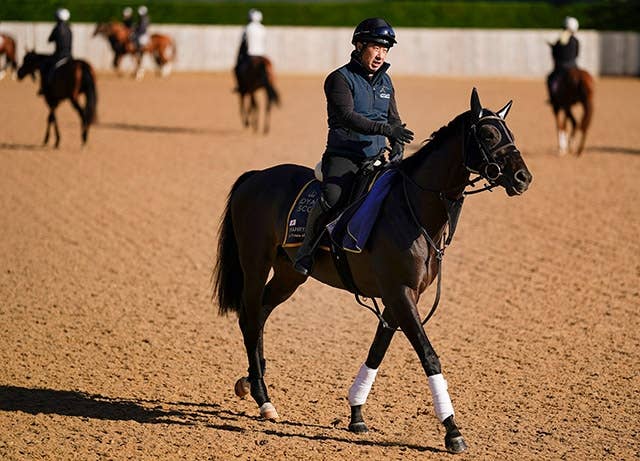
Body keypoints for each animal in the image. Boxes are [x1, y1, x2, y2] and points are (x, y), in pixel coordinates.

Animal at [212, 88, 532, 452]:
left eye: (510, 134)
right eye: (489, 134)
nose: (523, 178)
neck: (413, 209)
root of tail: (256, 176)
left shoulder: (400, 298)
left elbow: (377, 351)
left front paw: (356, 413)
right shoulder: (399, 294)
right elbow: (428, 355)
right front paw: (452, 430)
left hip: (289, 273)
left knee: (261, 314)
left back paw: (251, 382)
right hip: (255, 263)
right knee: (250, 317)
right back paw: (264, 399)